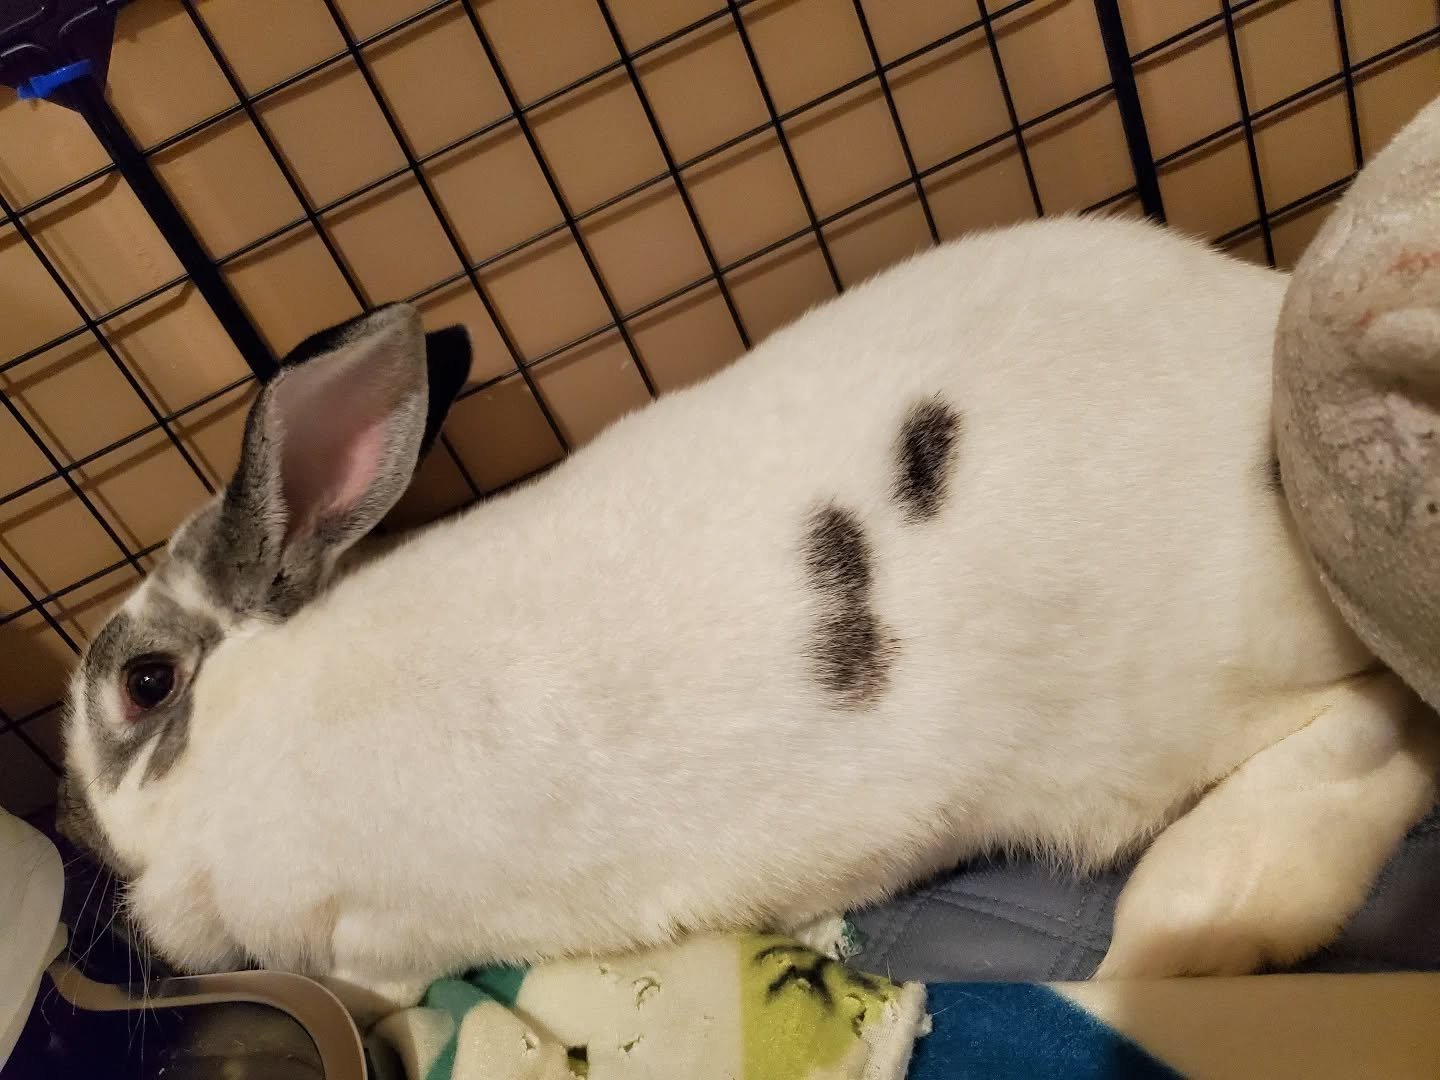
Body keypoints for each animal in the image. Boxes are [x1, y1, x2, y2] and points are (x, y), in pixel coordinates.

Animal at [61, 211, 1440, 1012]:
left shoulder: (368, 936)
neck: (248, 724)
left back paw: (1192, 928)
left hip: (1171, 702)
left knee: (1376, 732)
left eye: (141, 684)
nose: (85, 833)